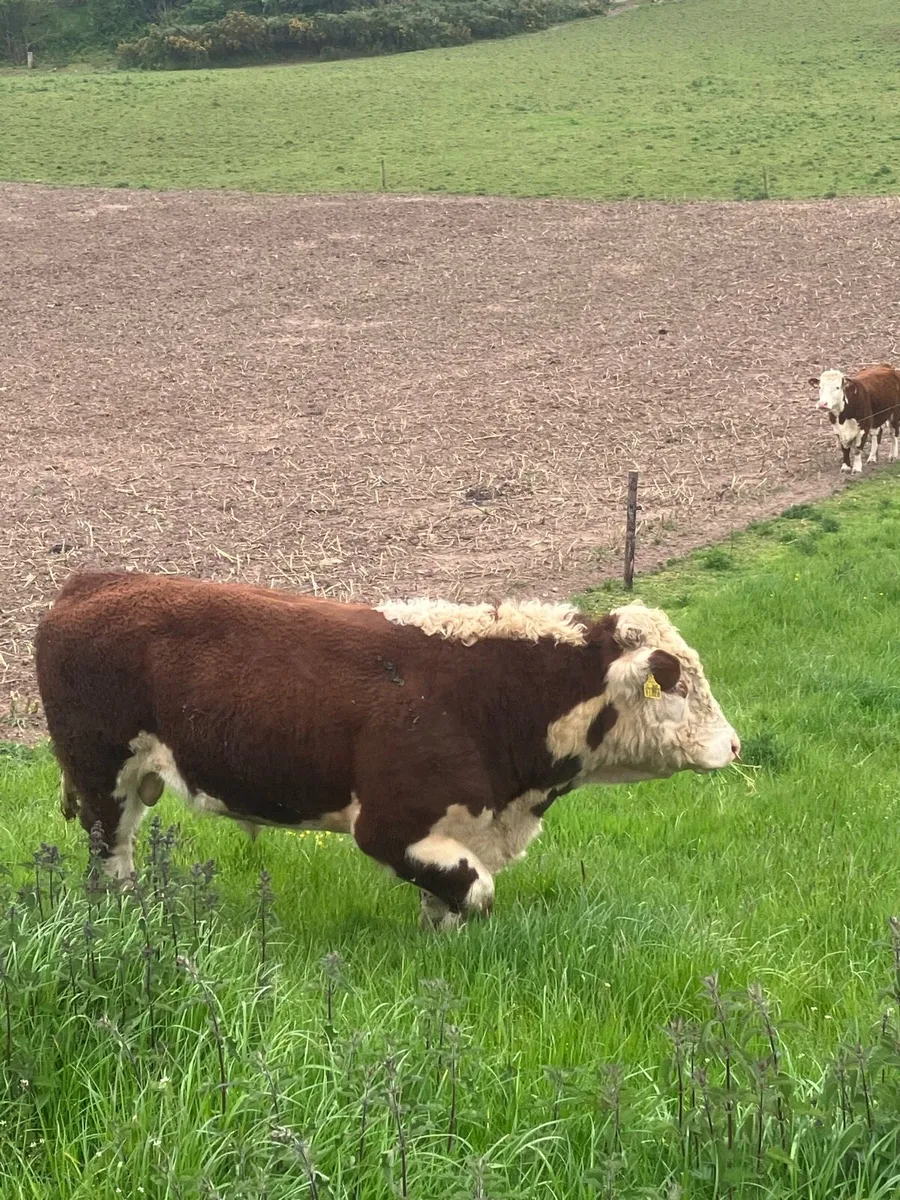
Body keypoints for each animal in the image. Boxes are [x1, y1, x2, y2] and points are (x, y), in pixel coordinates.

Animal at [34, 571, 740, 929]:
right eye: (677, 682)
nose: (733, 745)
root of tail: (91, 582)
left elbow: (450, 902)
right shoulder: (387, 826)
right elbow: (476, 892)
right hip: (102, 777)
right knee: (111, 859)